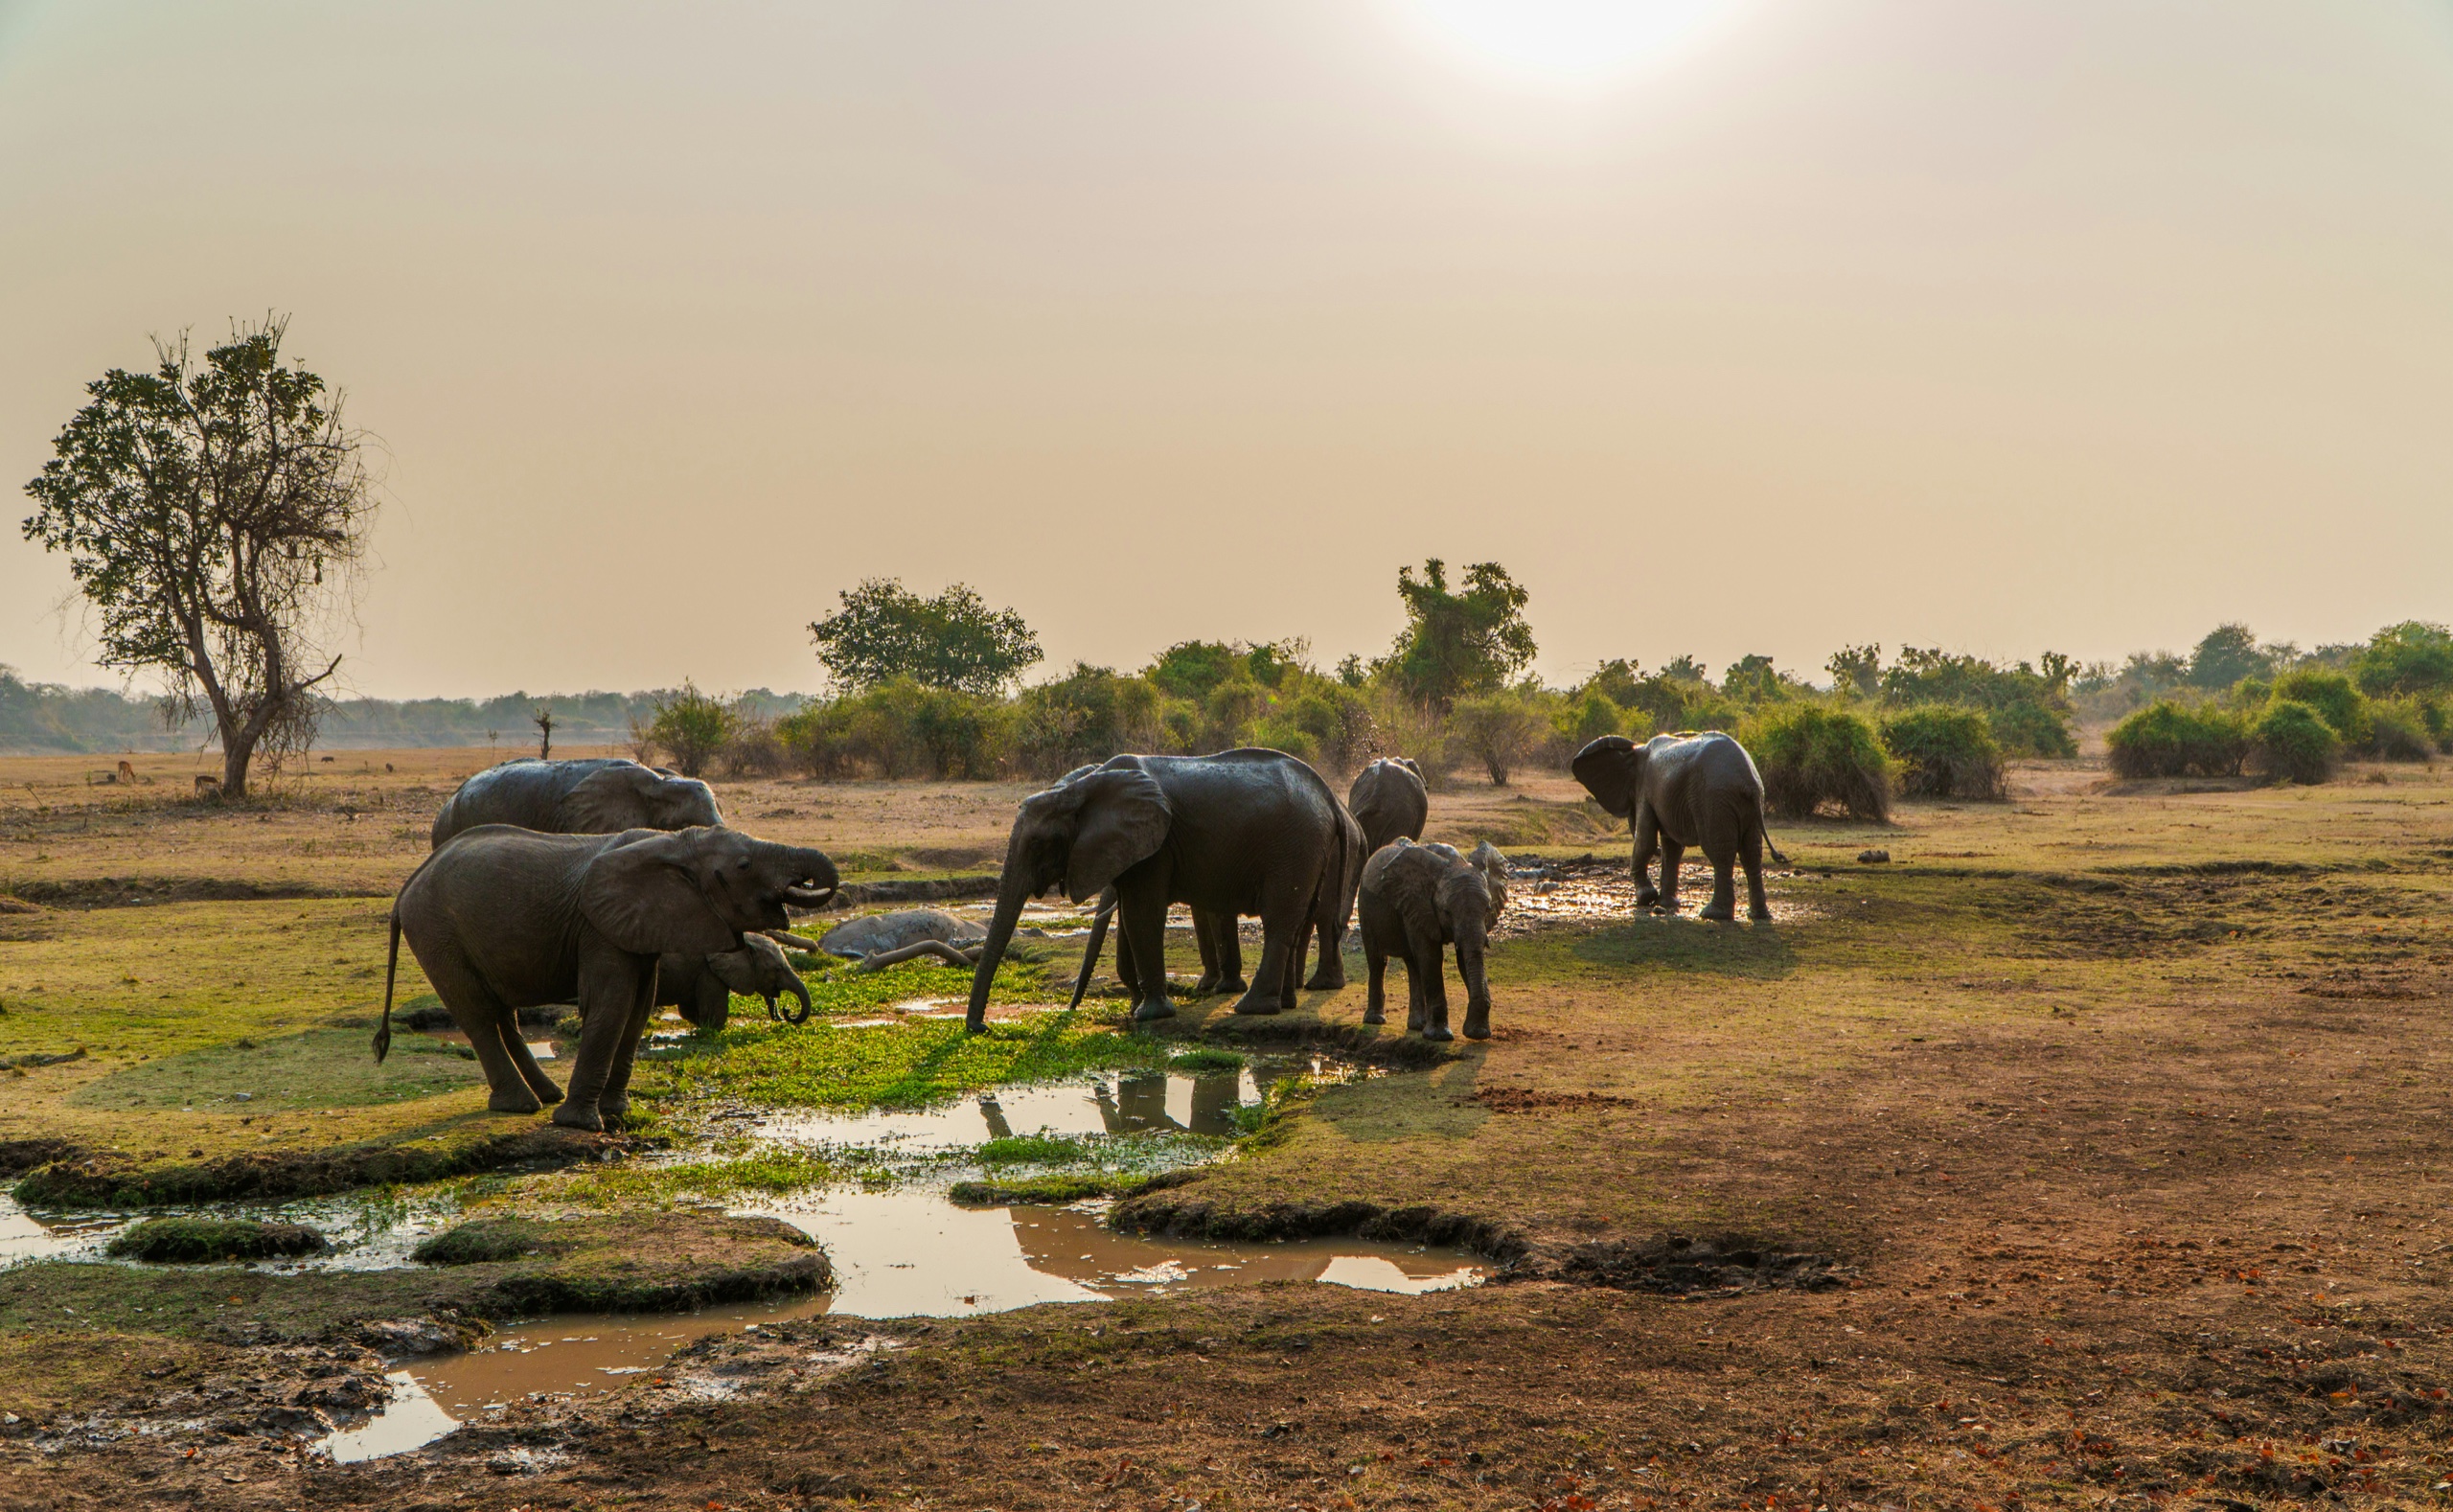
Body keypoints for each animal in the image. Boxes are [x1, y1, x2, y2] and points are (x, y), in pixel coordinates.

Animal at [970, 748, 1345, 1030]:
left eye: (1037, 844)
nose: (983, 1027)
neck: (1078, 788)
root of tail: (1329, 798)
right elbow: (1130, 915)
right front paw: (1136, 1008)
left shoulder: (1155, 847)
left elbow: (1142, 914)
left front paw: (1148, 1014)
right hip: (1309, 851)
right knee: (1298, 920)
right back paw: (1285, 1003)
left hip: (1294, 848)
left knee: (1278, 922)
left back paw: (1250, 1008)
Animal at [1359, 839, 1509, 1042]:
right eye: (1446, 911)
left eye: (1487, 909)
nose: (1477, 1033)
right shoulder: (1419, 904)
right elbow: (1430, 956)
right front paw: (1439, 1037)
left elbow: (1464, 958)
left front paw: (1478, 1033)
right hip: (1365, 907)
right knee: (1378, 961)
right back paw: (1375, 1020)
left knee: (1412, 964)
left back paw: (1417, 1026)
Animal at [1570, 732, 1787, 922]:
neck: (1635, 750)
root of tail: (1749, 781)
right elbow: (1672, 848)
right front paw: (1665, 904)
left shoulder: (1646, 790)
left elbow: (1646, 841)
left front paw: (1645, 898)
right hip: (1748, 805)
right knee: (1752, 853)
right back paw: (1758, 915)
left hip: (1712, 800)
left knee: (1720, 852)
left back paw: (1713, 914)